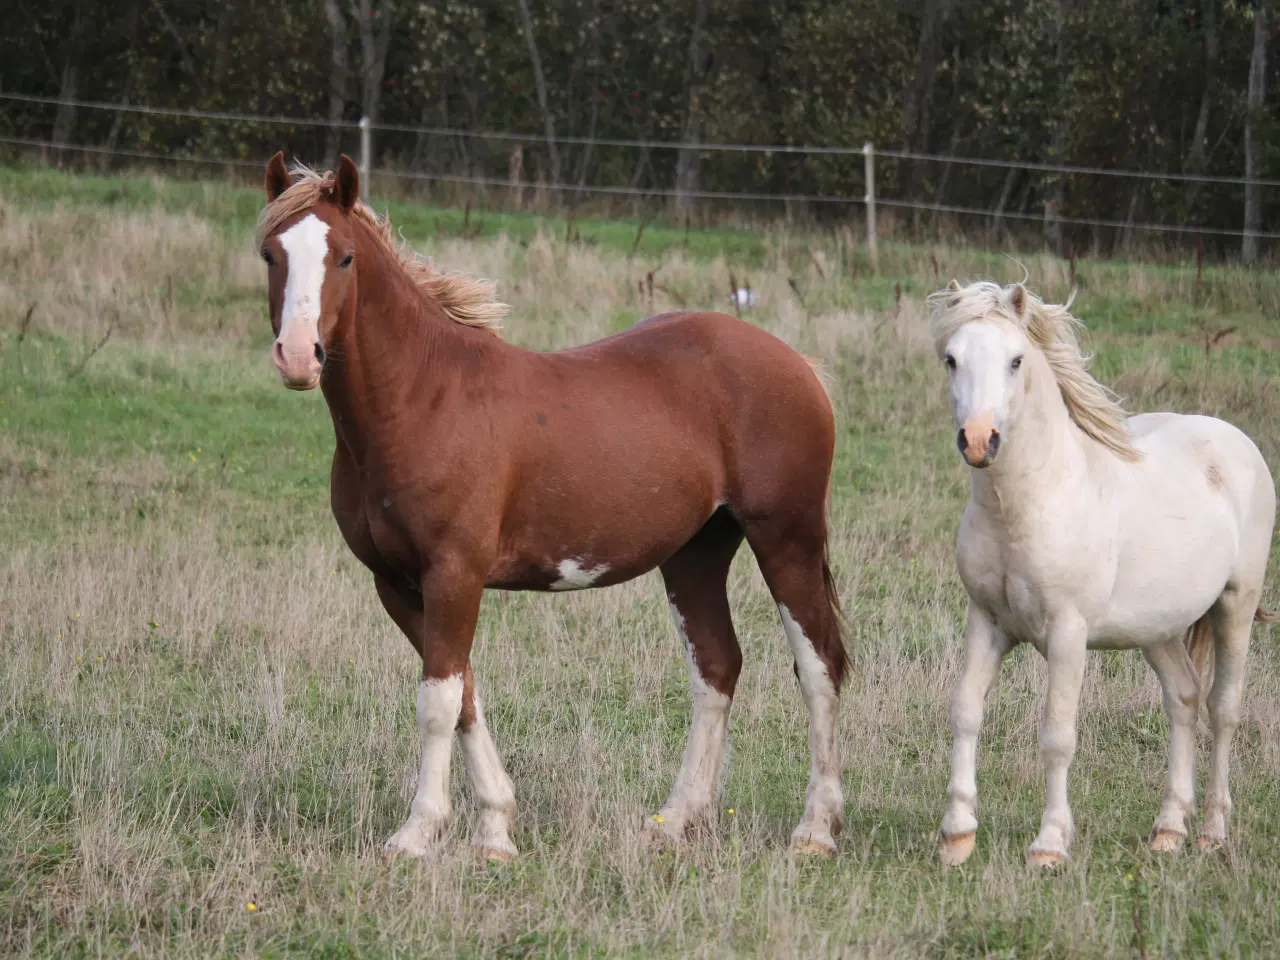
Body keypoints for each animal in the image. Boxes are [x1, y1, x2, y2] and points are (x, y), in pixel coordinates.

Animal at [253, 156, 844, 865]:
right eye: (270, 254)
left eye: (343, 257)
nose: (297, 357)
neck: (422, 398)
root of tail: (797, 364)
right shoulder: (397, 584)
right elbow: (464, 694)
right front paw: (496, 829)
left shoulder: (454, 575)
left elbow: (438, 701)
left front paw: (419, 832)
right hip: (696, 555)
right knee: (716, 667)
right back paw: (675, 820)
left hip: (786, 539)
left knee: (818, 667)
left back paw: (815, 830)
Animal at [926, 280, 1274, 870]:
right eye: (952, 359)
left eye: (1016, 360)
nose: (978, 440)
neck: (1028, 505)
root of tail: (1235, 441)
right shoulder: (987, 622)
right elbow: (965, 712)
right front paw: (957, 835)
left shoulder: (1068, 634)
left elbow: (1058, 734)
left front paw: (1048, 845)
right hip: (1159, 629)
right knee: (1183, 699)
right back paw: (1168, 830)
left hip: (1236, 604)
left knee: (1223, 710)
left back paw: (1211, 832)